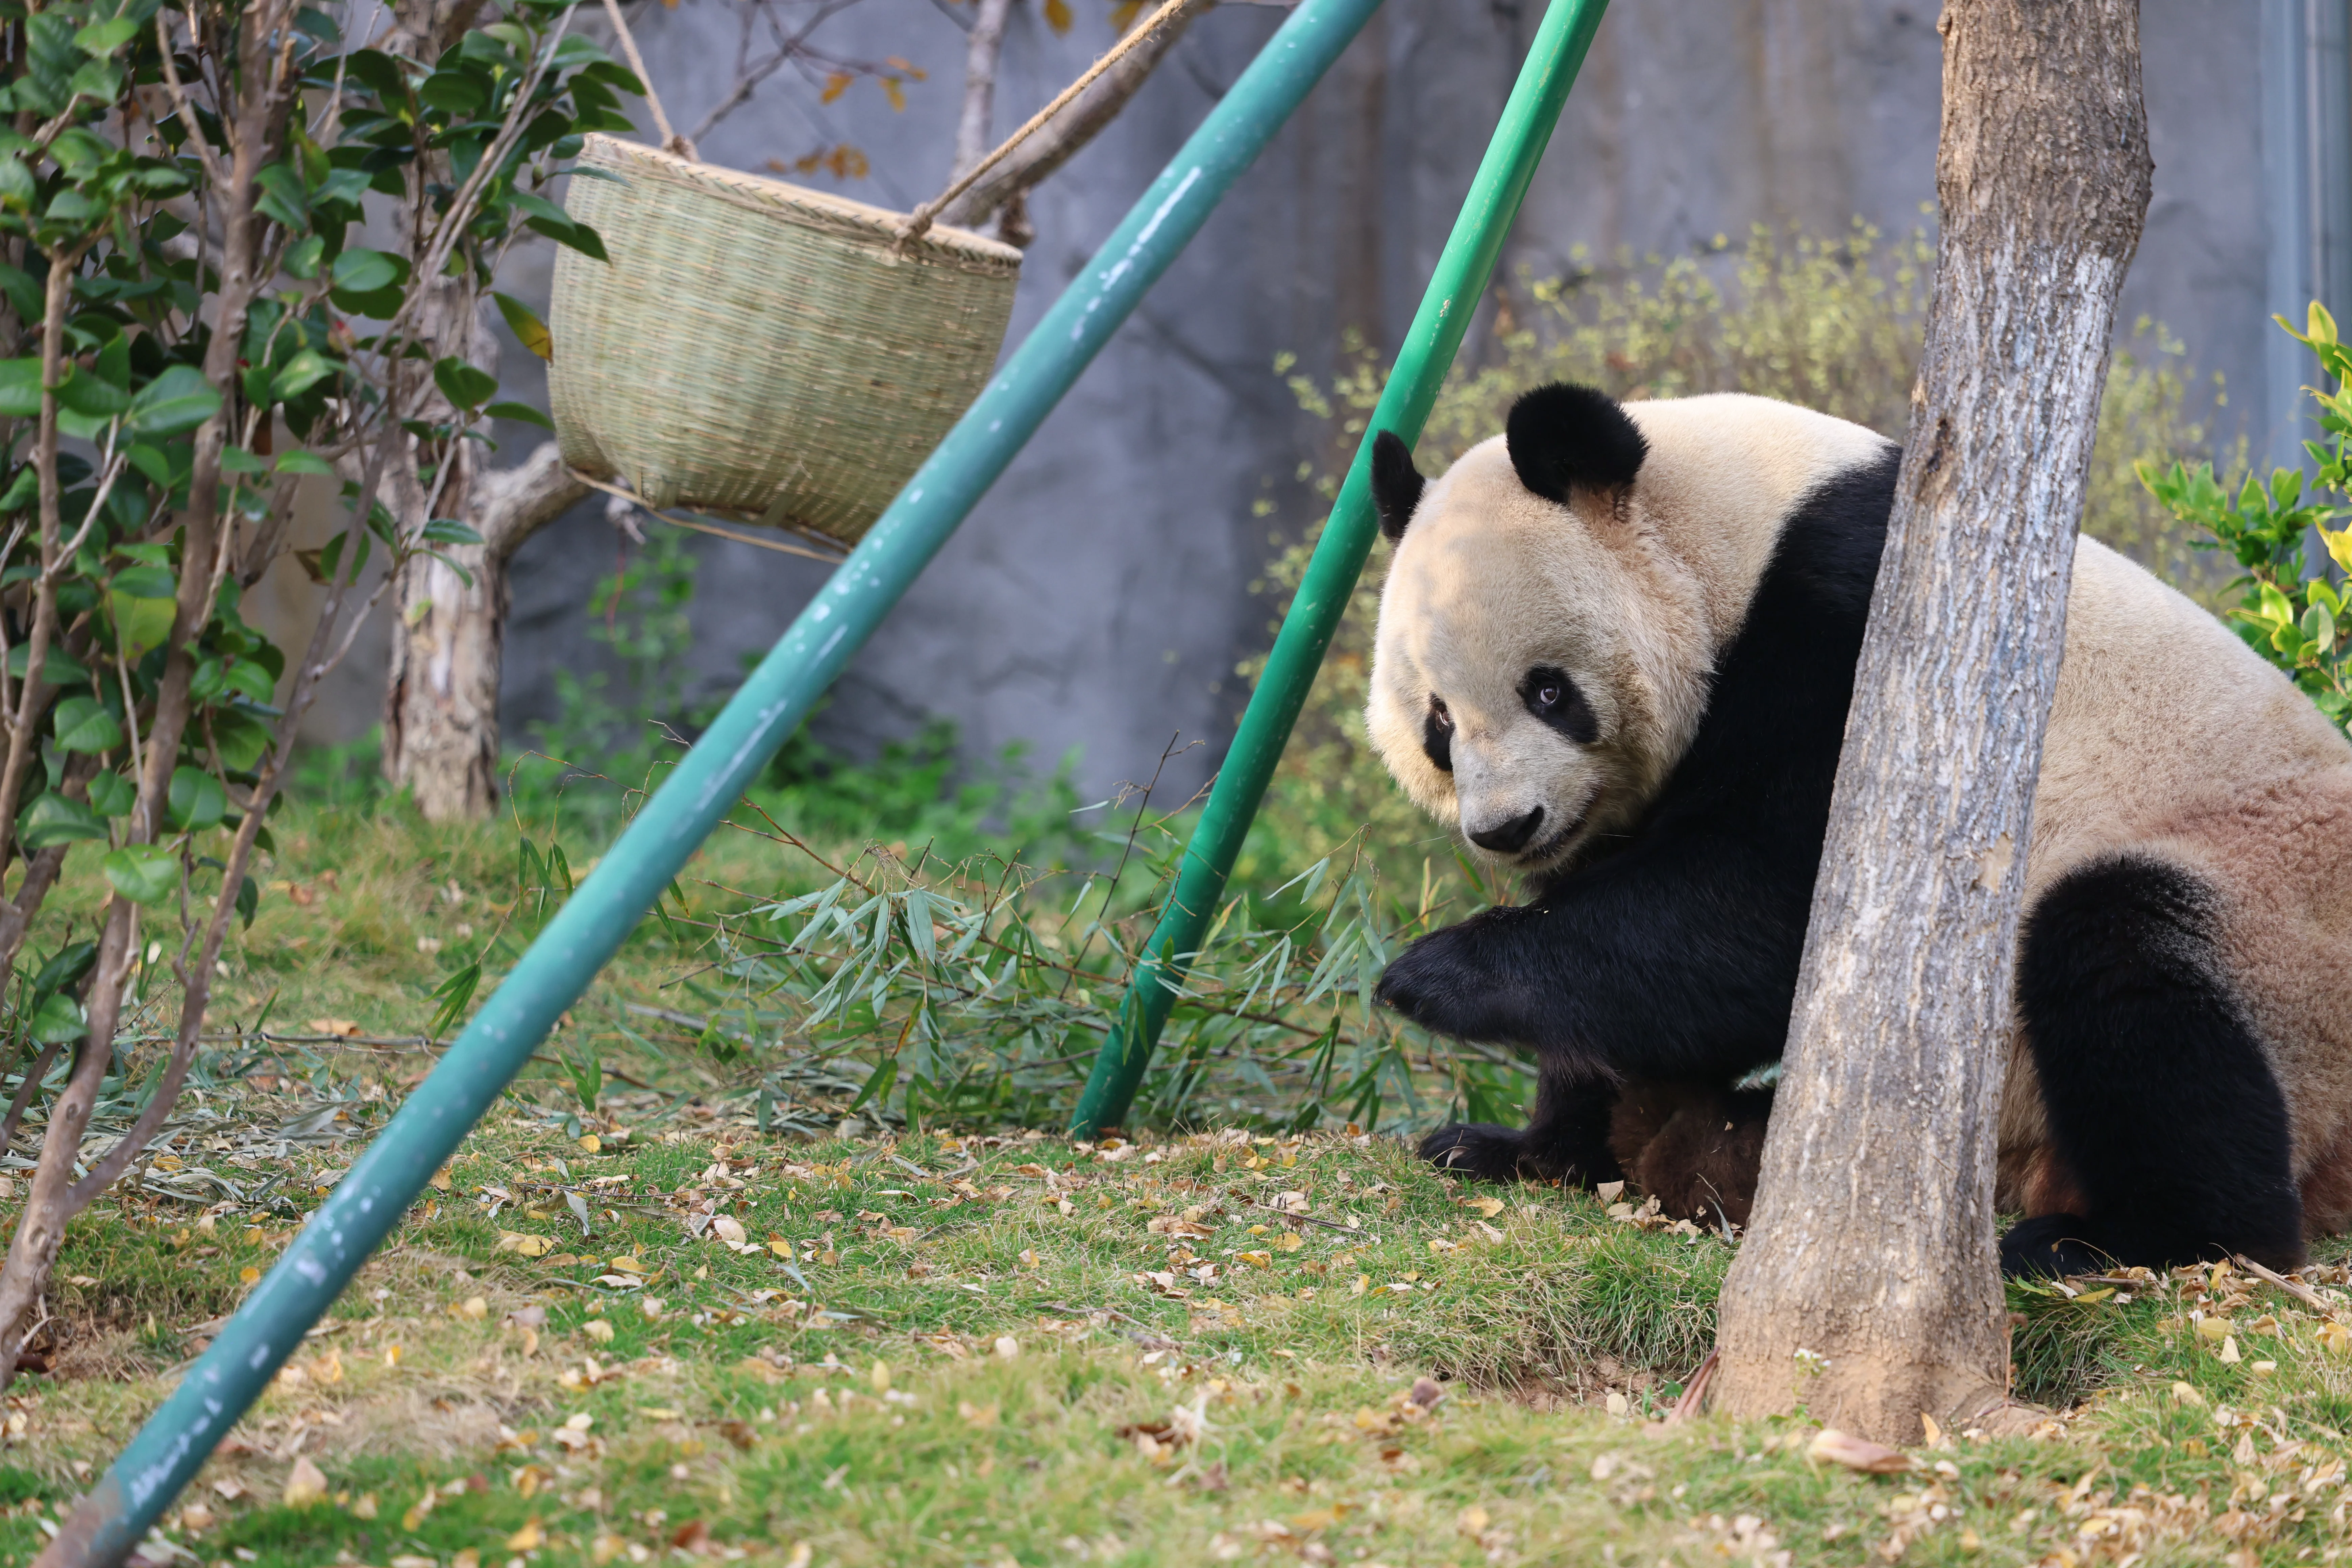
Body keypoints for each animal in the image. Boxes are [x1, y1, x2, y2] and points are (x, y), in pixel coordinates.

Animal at [1362, 382, 2352, 1277]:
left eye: (1547, 690)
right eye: (1438, 723)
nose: (1506, 828)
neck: (1729, 525)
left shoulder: (1860, 624)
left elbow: (1768, 906)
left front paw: (1433, 976)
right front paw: (1528, 1147)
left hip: (2271, 921)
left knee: (2131, 964)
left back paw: (2133, 1237)